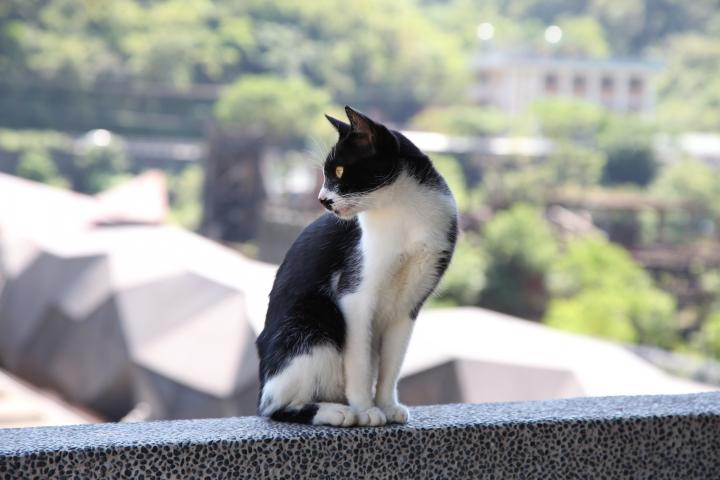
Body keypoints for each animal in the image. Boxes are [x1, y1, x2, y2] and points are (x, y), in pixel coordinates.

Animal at [256, 107, 458, 426]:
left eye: (339, 171)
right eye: (325, 174)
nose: (322, 199)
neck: (402, 213)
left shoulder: (408, 306)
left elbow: (392, 365)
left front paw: (387, 405)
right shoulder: (355, 296)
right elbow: (360, 363)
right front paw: (366, 409)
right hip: (313, 322)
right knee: (276, 407)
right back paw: (337, 412)